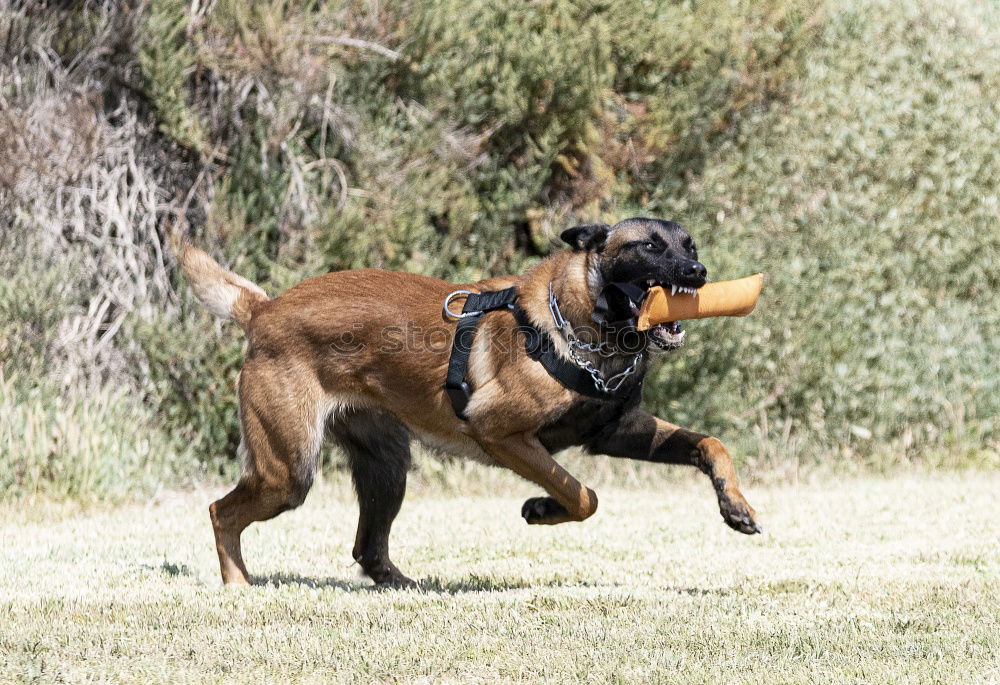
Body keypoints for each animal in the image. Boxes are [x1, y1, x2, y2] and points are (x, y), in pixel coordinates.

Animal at [180, 216, 756, 584]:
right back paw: (240, 587)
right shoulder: (499, 431)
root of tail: (263, 309)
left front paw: (737, 506)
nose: (698, 274)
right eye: (651, 247)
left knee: (366, 546)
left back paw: (403, 584)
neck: (585, 330)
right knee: (219, 512)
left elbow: (710, 443)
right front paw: (543, 508)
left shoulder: (616, 431)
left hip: (386, 468)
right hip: (289, 471)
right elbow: (581, 494)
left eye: (690, 246)